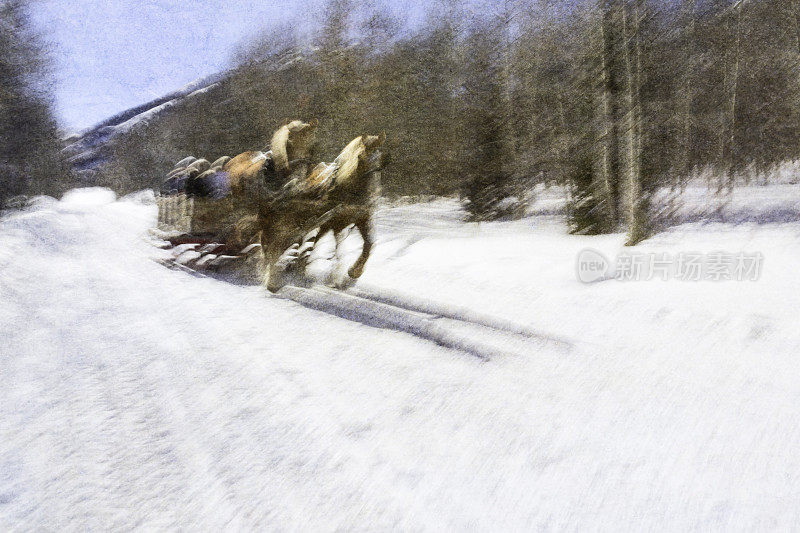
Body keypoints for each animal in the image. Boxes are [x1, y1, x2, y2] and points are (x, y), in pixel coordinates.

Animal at [258, 131, 386, 294]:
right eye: (360, 157)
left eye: (381, 161)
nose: (374, 192)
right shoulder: (338, 223)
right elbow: (339, 251)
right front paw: (336, 277)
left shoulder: (362, 218)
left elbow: (369, 244)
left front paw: (354, 272)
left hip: (319, 224)